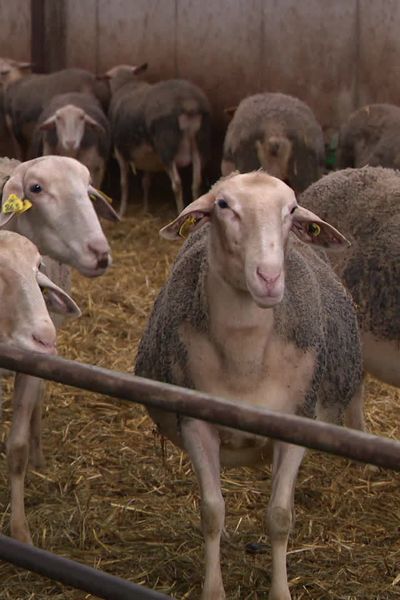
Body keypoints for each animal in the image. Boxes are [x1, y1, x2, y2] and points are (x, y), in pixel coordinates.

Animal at [0, 155, 119, 544]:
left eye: (88, 188)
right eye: (36, 188)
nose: (100, 254)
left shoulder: (33, 366)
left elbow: (17, 448)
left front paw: (20, 533)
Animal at [107, 65, 212, 216]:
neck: (126, 85)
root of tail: (189, 103)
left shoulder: (119, 151)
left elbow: (124, 183)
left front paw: (121, 212)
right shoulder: (148, 157)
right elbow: (146, 182)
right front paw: (145, 209)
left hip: (166, 147)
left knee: (177, 183)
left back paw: (180, 211)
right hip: (199, 143)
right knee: (196, 182)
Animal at [136, 170, 364, 600]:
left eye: (291, 210)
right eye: (224, 206)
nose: (270, 278)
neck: (245, 360)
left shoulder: (297, 423)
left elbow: (279, 517)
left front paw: (280, 591)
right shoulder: (195, 423)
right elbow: (211, 512)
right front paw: (213, 589)